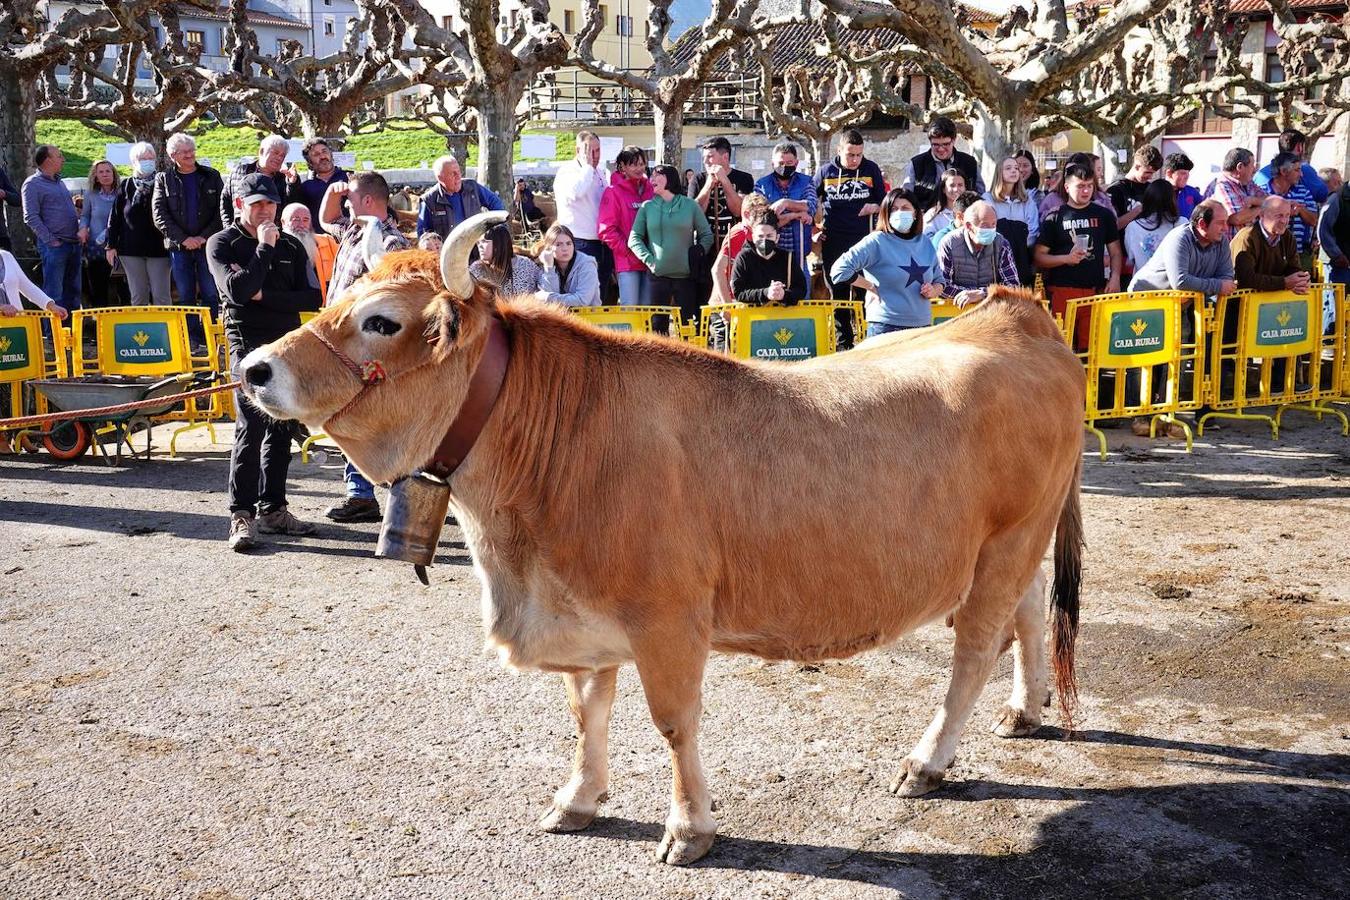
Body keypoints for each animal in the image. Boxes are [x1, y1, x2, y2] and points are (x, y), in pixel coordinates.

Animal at [240, 209, 1085, 863]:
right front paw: (578, 799)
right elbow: (587, 711)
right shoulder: (580, 612)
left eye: (381, 320)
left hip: (1009, 538)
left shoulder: (669, 618)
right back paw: (1026, 708)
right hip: (1011, 544)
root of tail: (1013, 310)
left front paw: (689, 828)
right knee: (1028, 610)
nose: (251, 369)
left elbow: (674, 723)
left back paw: (928, 759)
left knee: (975, 650)